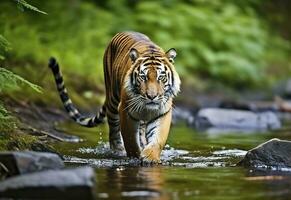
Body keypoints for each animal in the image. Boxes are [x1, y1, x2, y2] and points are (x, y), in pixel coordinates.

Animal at [48, 31, 180, 162]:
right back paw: (118, 151)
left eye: (161, 77)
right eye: (143, 77)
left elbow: (157, 139)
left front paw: (150, 157)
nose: (151, 96)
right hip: (113, 102)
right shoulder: (126, 110)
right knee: (114, 131)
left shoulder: (163, 112)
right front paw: (134, 157)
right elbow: (131, 140)